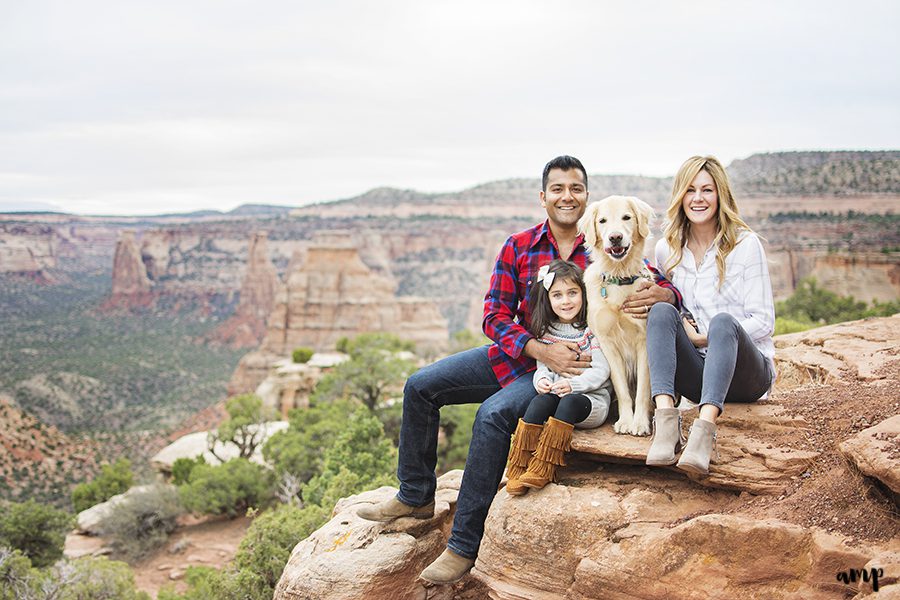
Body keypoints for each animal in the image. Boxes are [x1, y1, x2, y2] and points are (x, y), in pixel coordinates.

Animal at [576, 197, 652, 436]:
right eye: (602, 221)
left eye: (627, 217)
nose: (615, 237)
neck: (620, 276)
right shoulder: (607, 342)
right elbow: (622, 389)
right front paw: (626, 421)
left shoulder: (644, 340)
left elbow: (643, 390)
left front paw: (639, 423)